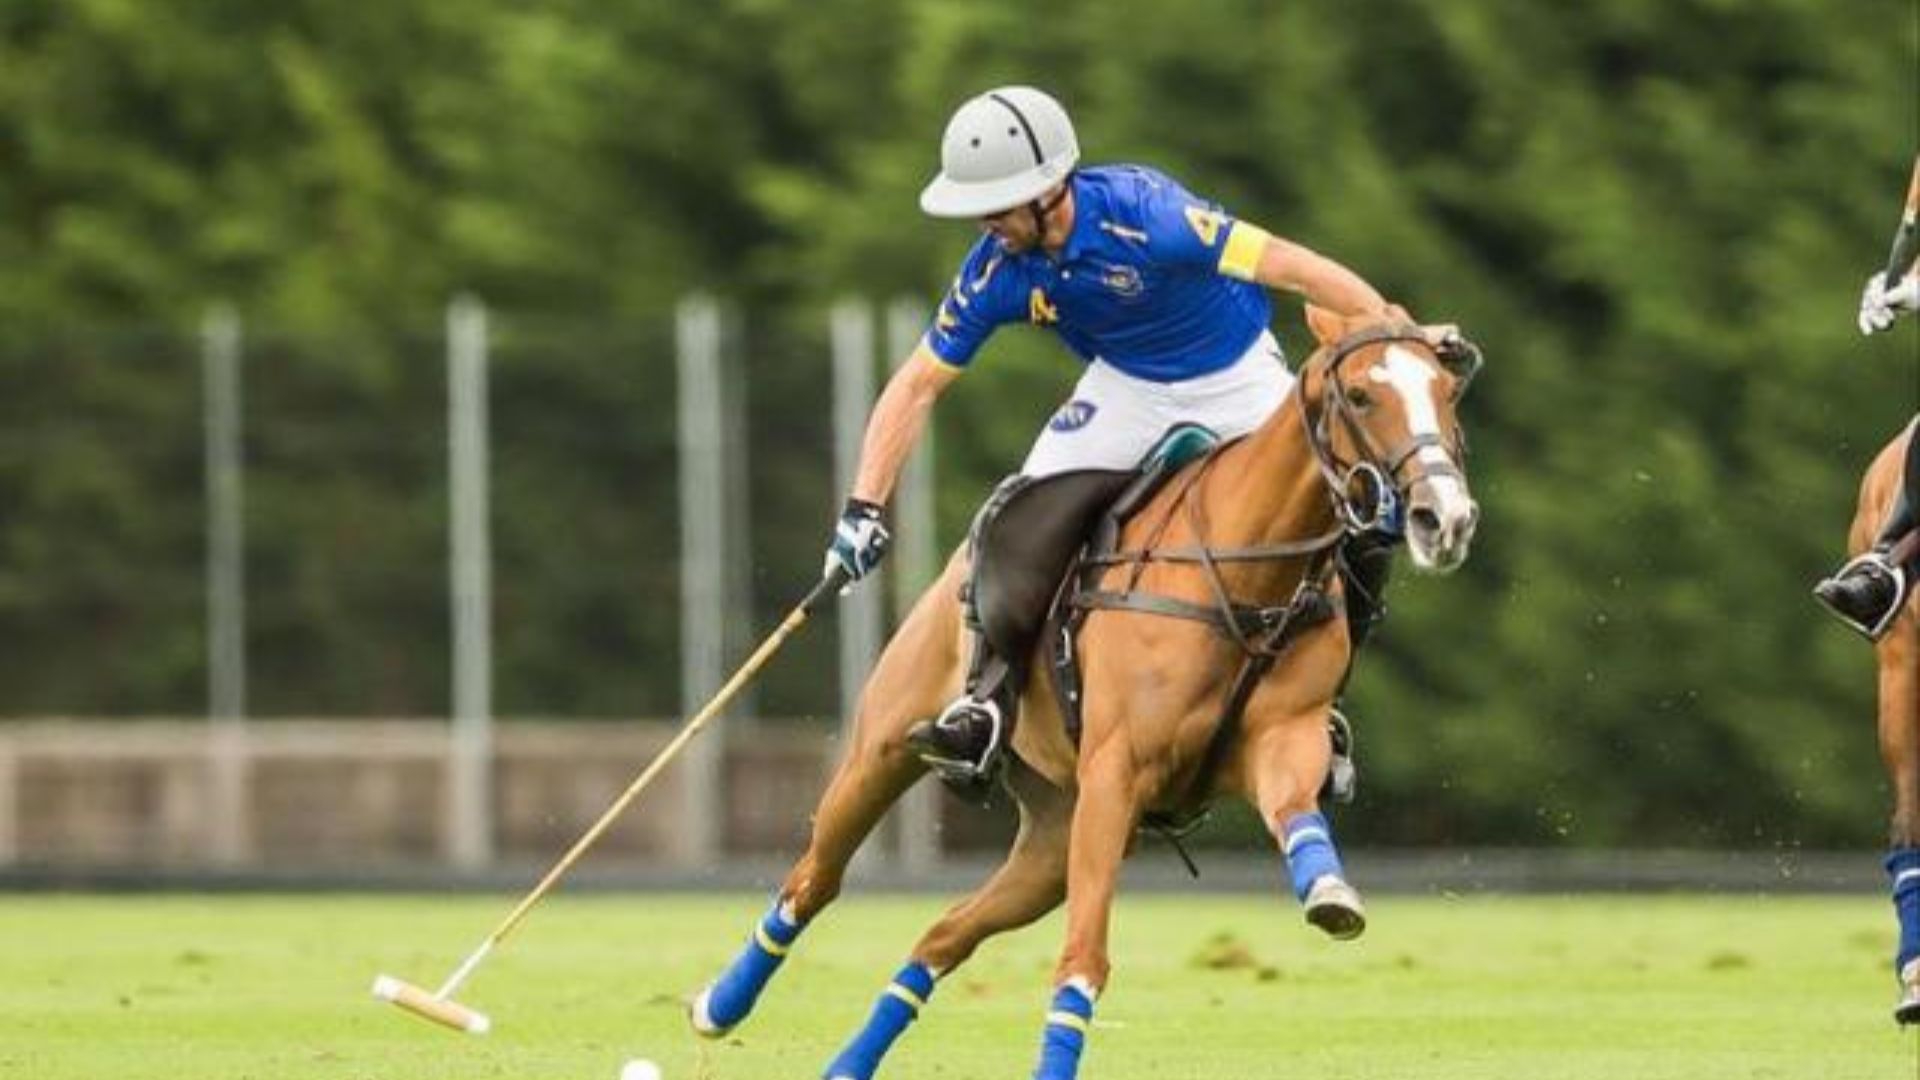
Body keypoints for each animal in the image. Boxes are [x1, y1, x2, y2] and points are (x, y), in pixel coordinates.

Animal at [691, 305, 1482, 1076]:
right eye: (1362, 397)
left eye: (1446, 394)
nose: (1445, 519)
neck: (1245, 574)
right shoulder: (1116, 771)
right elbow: (1083, 960)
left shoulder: (1284, 738)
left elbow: (1297, 813)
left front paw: (1330, 893)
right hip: (887, 750)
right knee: (814, 879)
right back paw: (719, 1004)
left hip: (1053, 836)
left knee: (942, 934)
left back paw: (847, 1064)